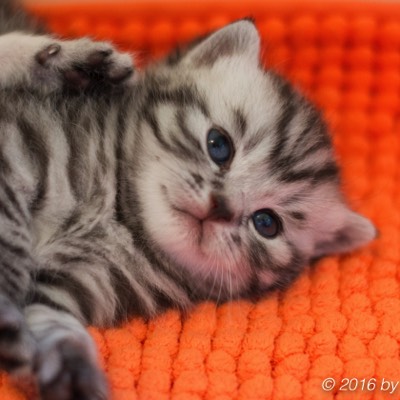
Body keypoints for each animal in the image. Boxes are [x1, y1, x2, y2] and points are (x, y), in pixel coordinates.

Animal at [0, 1, 376, 399]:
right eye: (219, 145)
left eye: (266, 223)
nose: (220, 207)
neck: (117, 218)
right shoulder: (16, 152)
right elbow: (12, 242)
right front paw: (7, 302)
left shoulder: (82, 280)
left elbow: (50, 317)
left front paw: (70, 369)